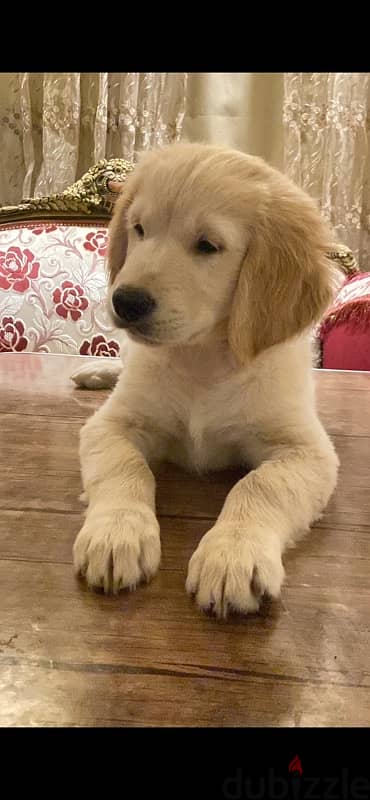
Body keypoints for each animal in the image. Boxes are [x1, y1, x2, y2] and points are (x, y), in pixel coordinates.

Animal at [71, 142, 340, 620]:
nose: (126, 301)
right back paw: (96, 372)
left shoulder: (307, 450)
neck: (203, 359)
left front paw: (233, 555)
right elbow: (126, 466)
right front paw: (116, 533)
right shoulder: (110, 425)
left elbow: (260, 485)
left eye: (208, 246)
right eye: (139, 229)